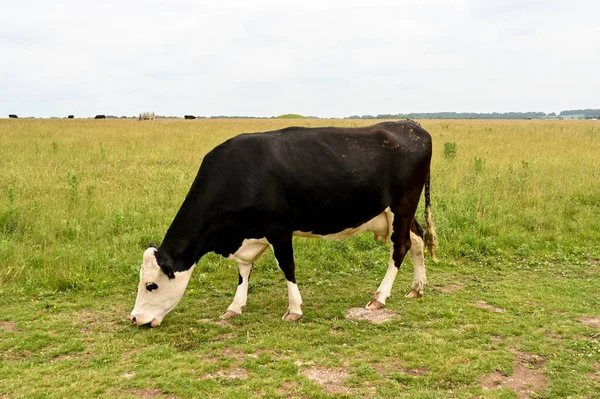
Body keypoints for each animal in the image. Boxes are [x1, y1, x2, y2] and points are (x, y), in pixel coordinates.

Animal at [130, 121, 436, 328]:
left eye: (150, 285)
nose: (134, 318)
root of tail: (410, 124)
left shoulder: (279, 228)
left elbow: (287, 267)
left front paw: (294, 309)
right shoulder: (247, 236)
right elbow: (243, 271)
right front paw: (235, 306)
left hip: (402, 206)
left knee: (399, 248)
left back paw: (380, 297)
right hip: (400, 214)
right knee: (417, 239)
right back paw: (417, 287)